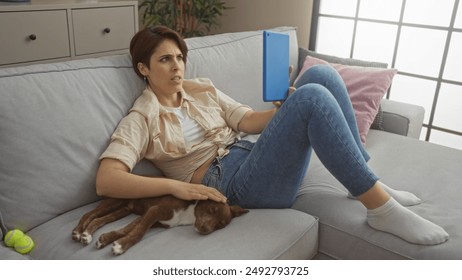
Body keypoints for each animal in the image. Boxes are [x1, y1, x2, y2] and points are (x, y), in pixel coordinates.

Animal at [71, 196, 247, 255]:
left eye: (220, 225)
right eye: (212, 209)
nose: (205, 230)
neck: (189, 214)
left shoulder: (151, 219)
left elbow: (128, 229)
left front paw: (108, 239)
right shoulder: (154, 211)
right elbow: (139, 233)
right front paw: (121, 247)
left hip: (123, 209)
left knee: (99, 220)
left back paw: (87, 233)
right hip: (113, 202)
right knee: (89, 214)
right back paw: (79, 232)